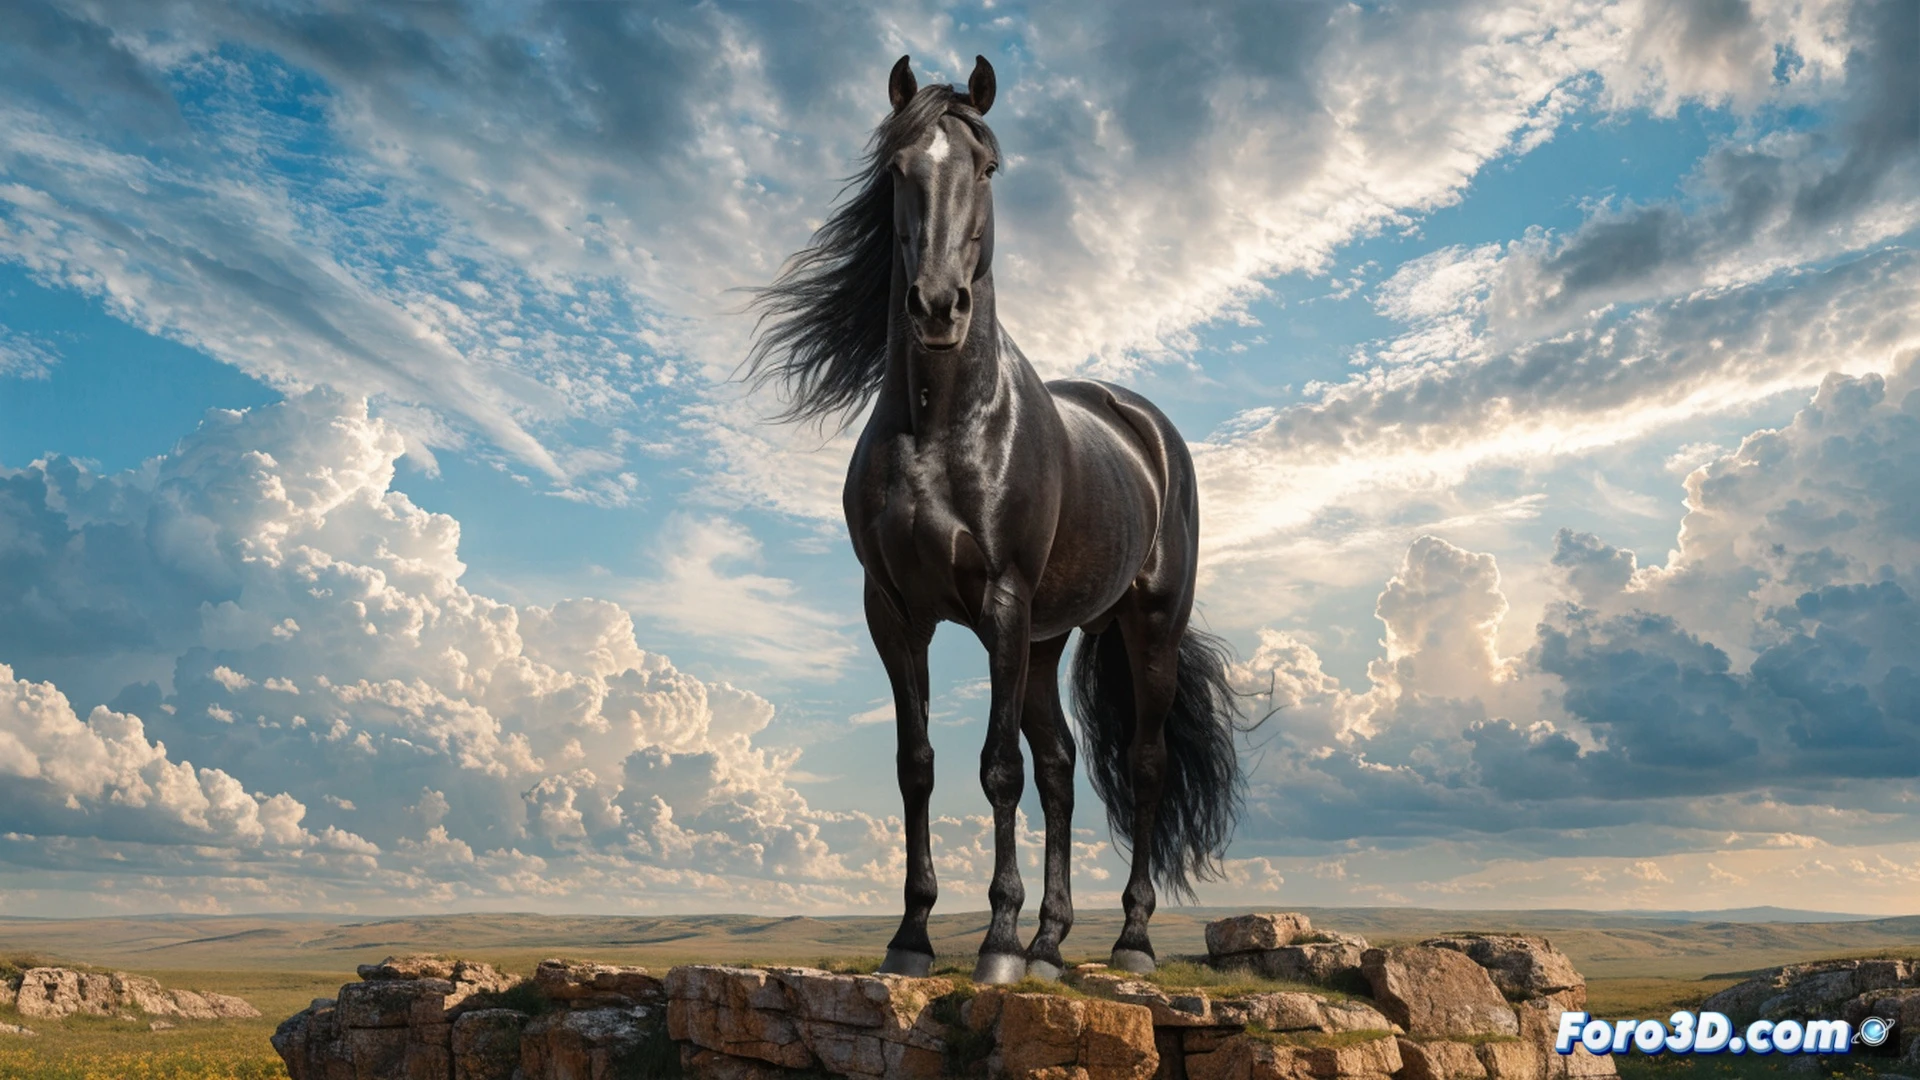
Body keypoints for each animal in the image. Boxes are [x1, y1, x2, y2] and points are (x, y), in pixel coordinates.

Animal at [745, 54, 1244, 984]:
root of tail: (1144, 425)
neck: (945, 426)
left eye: (987, 168)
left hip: (1146, 625)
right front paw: (913, 935)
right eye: (897, 169)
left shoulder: (1001, 604)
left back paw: (1128, 938)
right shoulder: (894, 612)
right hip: (1046, 643)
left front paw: (997, 943)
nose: (939, 307)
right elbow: (919, 765)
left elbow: (997, 768)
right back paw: (1052, 943)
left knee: (1144, 765)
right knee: (1062, 768)